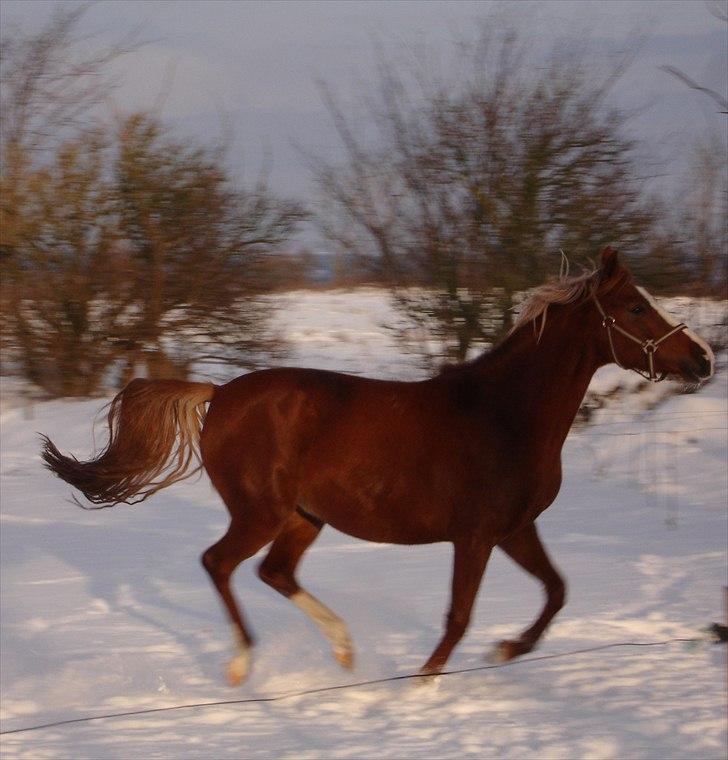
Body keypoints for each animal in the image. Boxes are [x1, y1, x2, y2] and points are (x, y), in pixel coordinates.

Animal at [39, 249, 712, 684]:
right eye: (634, 308)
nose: (702, 359)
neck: (504, 414)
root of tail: (220, 393)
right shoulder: (475, 536)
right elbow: (459, 617)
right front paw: (424, 685)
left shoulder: (515, 529)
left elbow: (557, 591)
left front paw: (504, 651)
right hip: (261, 512)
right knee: (220, 564)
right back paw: (243, 663)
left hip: (304, 517)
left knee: (273, 573)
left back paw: (343, 652)